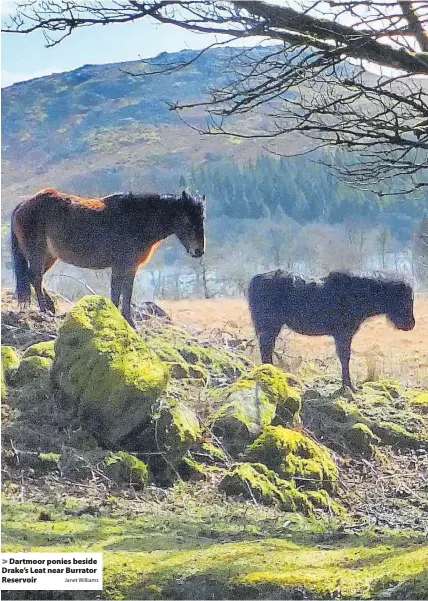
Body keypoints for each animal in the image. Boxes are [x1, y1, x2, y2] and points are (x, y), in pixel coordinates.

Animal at [12, 189, 206, 326]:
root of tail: (22, 204)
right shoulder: (120, 266)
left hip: (49, 257)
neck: (137, 220)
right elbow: (117, 293)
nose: (198, 251)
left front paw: (128, 321)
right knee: (36, 277)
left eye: (202, 218)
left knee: (34, 277)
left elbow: (126, 293)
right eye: (187, 220)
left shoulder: (130, 267)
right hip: (38, 253)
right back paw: (44, 310)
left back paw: (51, 307)